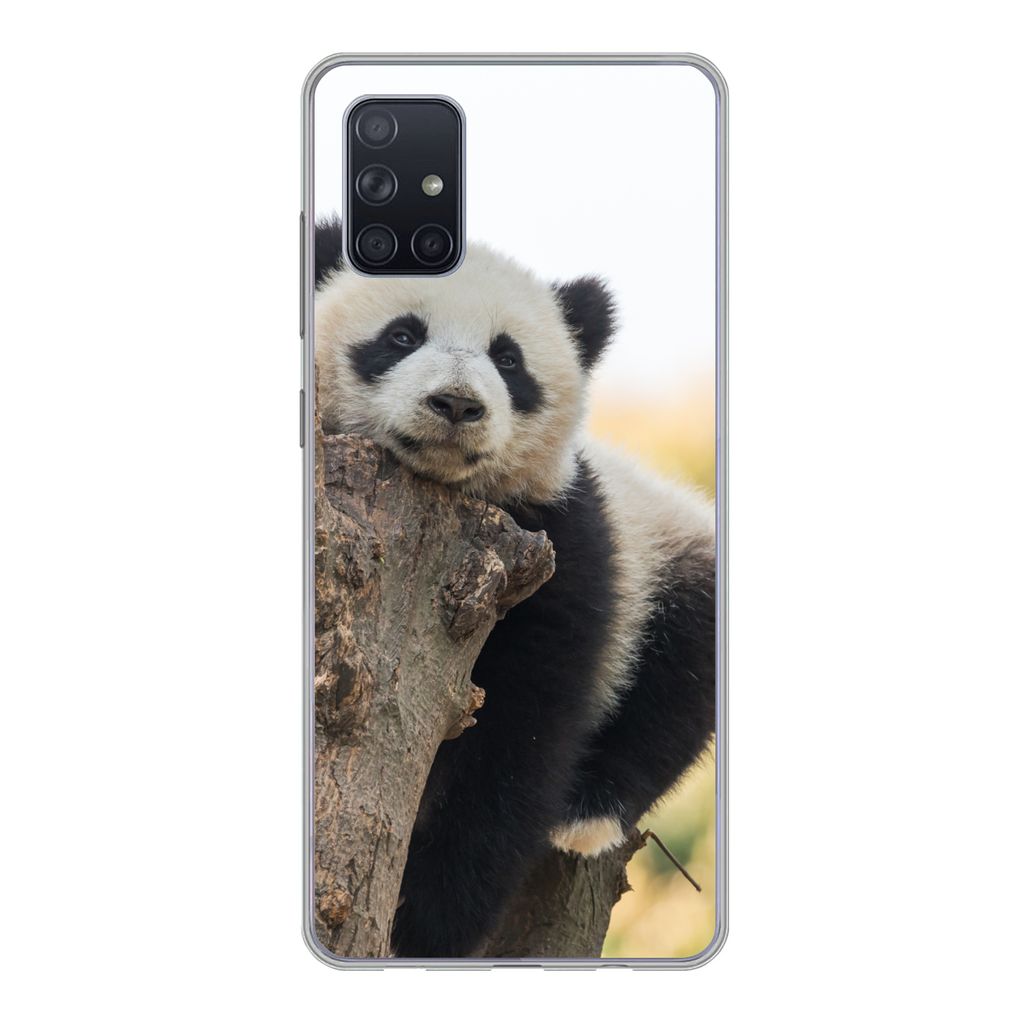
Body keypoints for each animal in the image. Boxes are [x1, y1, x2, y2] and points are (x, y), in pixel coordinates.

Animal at [314, 218, 717, 958]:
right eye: (402, 336)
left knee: (680, 670)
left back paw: (589, 811)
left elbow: (520, 730)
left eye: (509, 359)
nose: (456, 404)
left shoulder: (559, 542)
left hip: (665, 551)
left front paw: (425, 923)